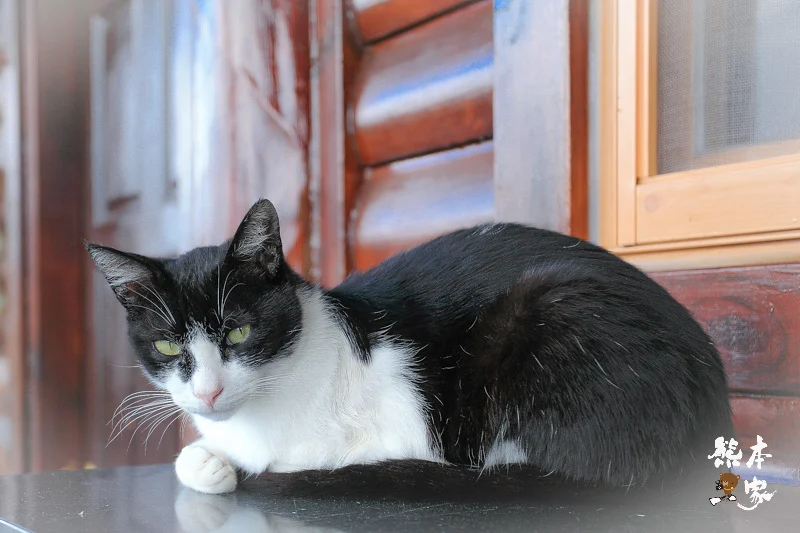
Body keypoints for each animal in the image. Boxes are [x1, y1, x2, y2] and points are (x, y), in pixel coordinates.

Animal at [87, 198, 732, 494]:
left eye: (239, 332)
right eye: (168, 346)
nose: (208, 392)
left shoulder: (399, 418)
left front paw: (224, 462)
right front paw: (206, 457)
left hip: (550, 308)